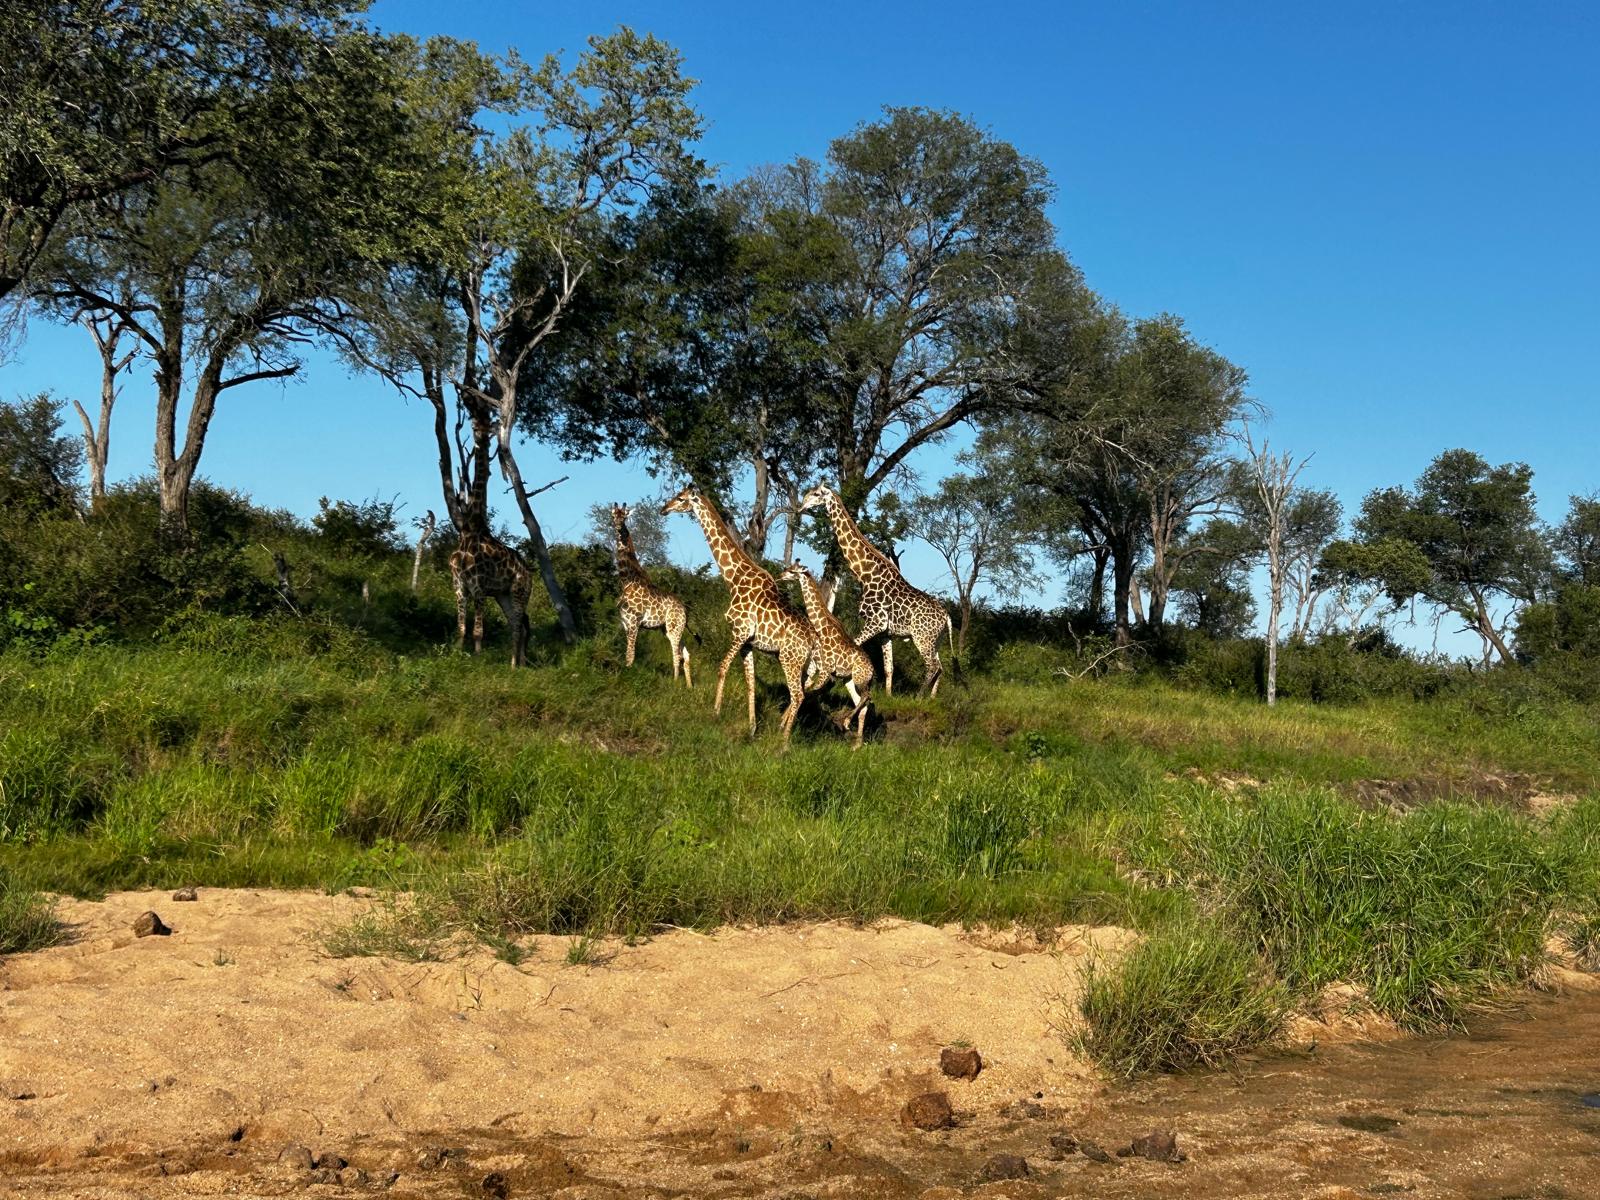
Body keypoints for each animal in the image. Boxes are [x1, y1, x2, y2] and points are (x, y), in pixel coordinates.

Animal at [449, 529, 533, 668]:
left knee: (518, 626)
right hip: (503, 596)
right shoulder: (459, 588)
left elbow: (477, 631)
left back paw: (514, 665)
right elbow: (460, 628)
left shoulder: (479, 589)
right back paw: (521, 664)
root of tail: (530, 574)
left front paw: (477, 659)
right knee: (520, 624)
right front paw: (456, 655)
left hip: (519, 592)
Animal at [611, 503, 691, 687]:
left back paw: (675, 683)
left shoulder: (634, 622)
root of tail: (684, 609)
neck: (627, 581)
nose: (618, 527)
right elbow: (628, 653)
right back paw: (689, 687)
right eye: (612, 516)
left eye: (624, 516)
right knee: (685, 654)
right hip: (670, 629)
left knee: (676, 655)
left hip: (674, 627)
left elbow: (630, 654)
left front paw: (628, 678)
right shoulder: (625, 623)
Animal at [661, 486, 817, 743]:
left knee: (798, 694)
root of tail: (814, 641)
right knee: (803, 691)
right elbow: (750, 682)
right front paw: (752, 728)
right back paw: (782, 730)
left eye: (681, 498)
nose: (663, 509)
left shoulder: (739, 632)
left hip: (789, 659)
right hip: (803, 663)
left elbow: (722, 667)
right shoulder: (748, 643)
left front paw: (715, 712)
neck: (734, 577)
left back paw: (784, 741)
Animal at [779, 560, 874, 748]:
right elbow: (803, 691)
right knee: (864, 703)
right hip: (848, 680)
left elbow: (807, 694)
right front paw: (782, 722)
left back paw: (846, 723)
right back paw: (856, 745)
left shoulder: (825, 671)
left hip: (859, 678)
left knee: (867, 696)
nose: (780, 575)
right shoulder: (817, 670)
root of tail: (873, 670)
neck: (822, 629)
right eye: (788, 568)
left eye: (792, 571)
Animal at [800, 484, 954, 696]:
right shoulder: (885, 632)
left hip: (922, 637)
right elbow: (889, 667)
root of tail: (946, 616)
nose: (801, 506)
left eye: (816, 494)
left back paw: (918, 696)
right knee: (940, 667)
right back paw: (931, 698)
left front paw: (824, 681)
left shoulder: (876, 622)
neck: (865, 574)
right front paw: (888, 696)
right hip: (936, 640)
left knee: (932, 666)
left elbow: (854, 646)